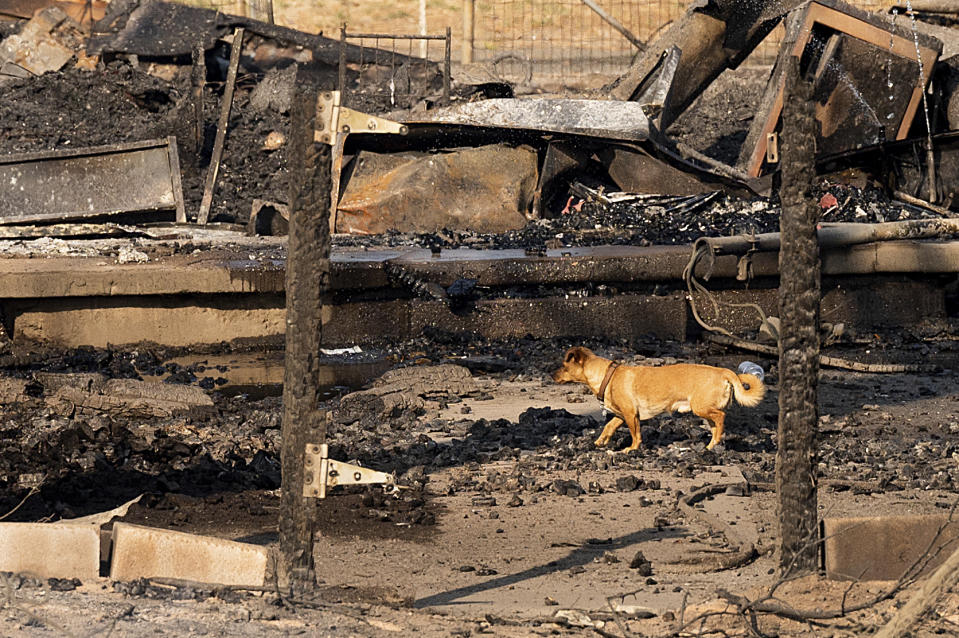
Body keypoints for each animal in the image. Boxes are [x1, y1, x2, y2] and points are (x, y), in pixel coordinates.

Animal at [556, 348, 764, 452]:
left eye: (564, 366)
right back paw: (711, 445)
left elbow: (636, 435)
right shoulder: (622, 415)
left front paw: (632, 449)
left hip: (701, 407)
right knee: (715, 426)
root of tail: (723, 372)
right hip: (704, 411)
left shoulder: (631, 415)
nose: (551, 375)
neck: (609, 376)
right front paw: (600, 441)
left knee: (721, 417)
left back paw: (715, 443)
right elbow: (608, 426)